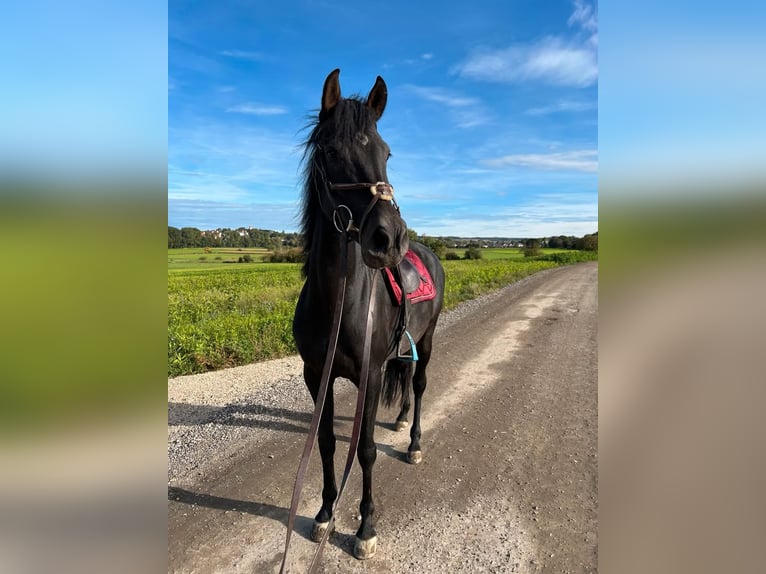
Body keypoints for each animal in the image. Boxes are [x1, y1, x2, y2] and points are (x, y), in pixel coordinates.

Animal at [290, 69, 445, 563]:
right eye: (331, 152)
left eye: (386, 152)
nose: (389, 238)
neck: (340, 303)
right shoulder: (316, 374)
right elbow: (324, 443)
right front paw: (324, 514)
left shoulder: (371, 377)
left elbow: (367, 450)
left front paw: (365, 527)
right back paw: (399, 419)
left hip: (427, 341)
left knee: (419, 384)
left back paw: (413, 441)